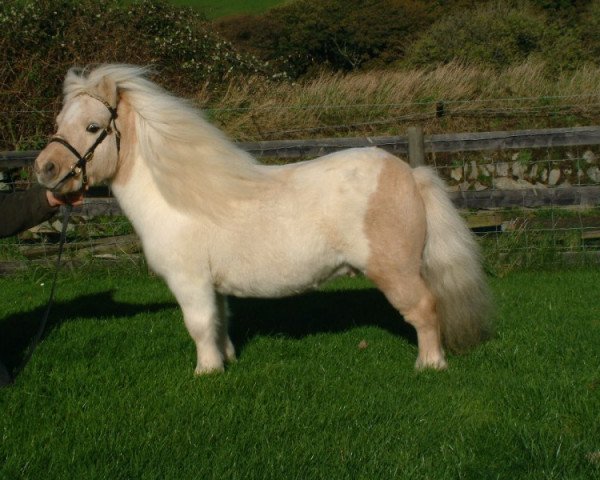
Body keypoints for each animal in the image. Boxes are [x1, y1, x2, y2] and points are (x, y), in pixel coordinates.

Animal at [34, 64, 492, 376]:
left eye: (93, 126)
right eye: (58, 122)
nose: (45, 169)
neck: (177, 196)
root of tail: (410, 174)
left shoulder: (189, 282)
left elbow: (198, 326)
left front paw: (206, 373)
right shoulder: (212, 287)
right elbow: (219, 323)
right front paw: (226, 361)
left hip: (396, 272)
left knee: (425, 309)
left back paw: (429, 365)